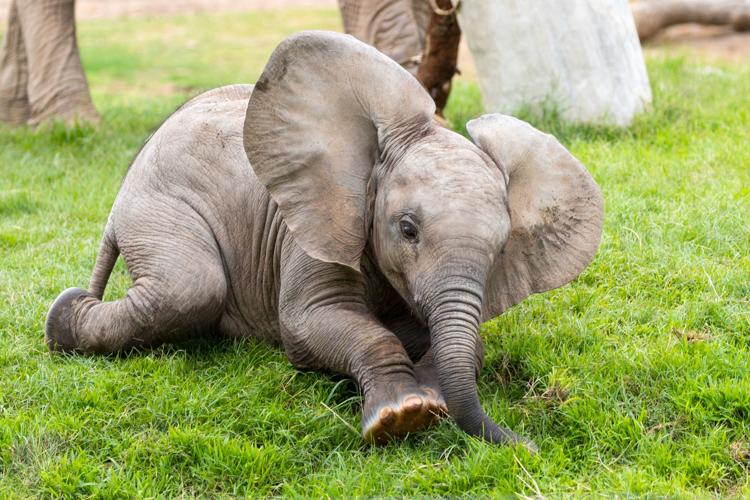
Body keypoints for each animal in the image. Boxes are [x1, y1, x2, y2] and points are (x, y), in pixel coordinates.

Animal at [45, 30, 604, 446]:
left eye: (500, 250)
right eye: (407, 228)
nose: (529, 445)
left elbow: (463, 339)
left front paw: (430, 397)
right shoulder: (314, 225)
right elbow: (312, 322)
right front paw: (402, 415)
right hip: (157, 205)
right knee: (189, 288)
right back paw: (63, 318)